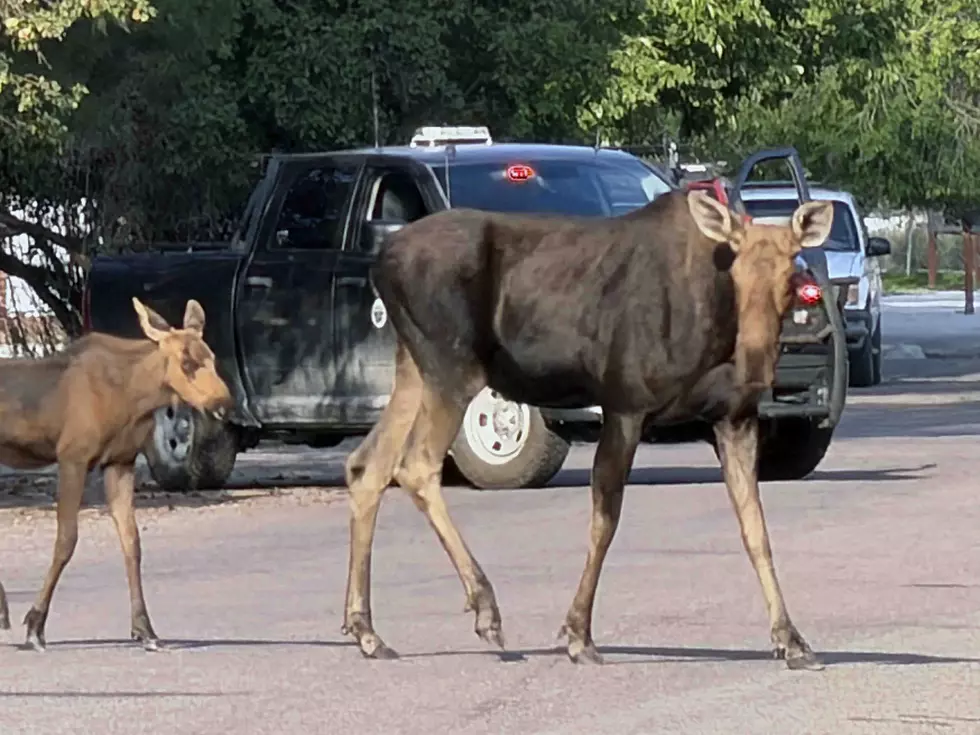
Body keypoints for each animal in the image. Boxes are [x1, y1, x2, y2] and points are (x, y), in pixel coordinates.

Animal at [339, 187, 834, 671]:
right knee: (415, 465)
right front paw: (579, 634)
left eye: (790, 279)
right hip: (454, 368)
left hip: (415, 368)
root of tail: (381, 262)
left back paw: (366, 630)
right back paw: (484, 608)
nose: (755, 364)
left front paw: (791, 640)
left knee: (367, 465)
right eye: (736, 273)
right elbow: (605, 520)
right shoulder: (626, 405)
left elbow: (756, 529)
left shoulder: (734, 418)